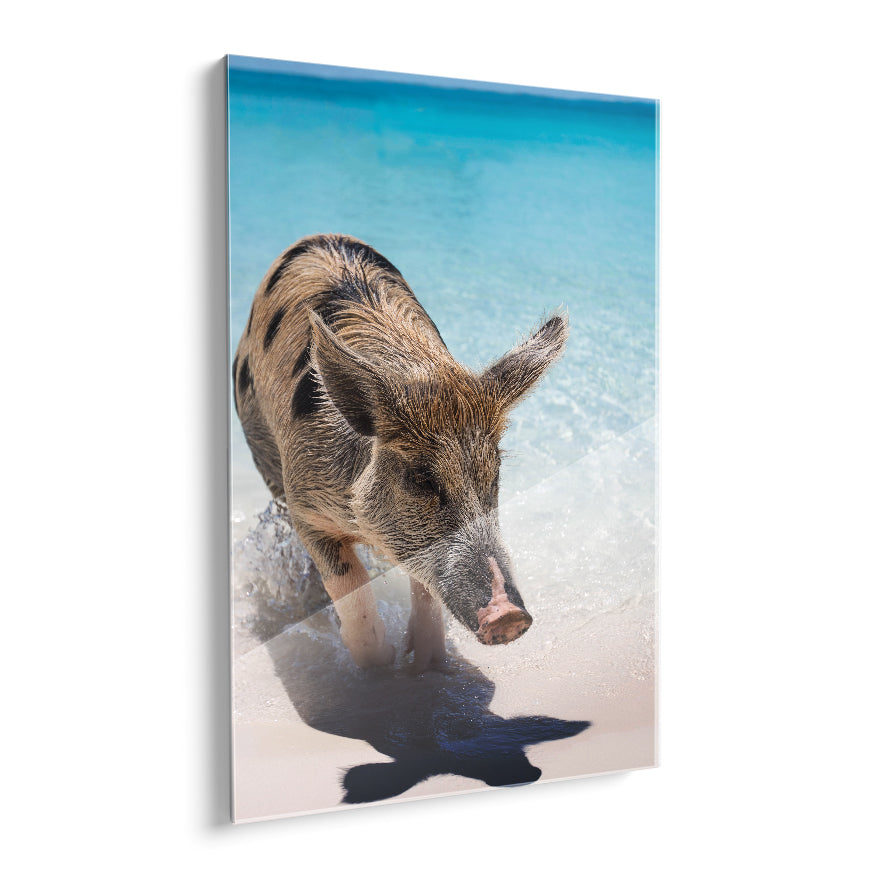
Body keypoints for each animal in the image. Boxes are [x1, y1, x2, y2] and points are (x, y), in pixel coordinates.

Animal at [233, 234, 567, 671]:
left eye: (494, 473)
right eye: (420, 478)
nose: (509, 616)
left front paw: (425, 661)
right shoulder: (304, 502)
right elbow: (349, 582)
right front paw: (378, 661)